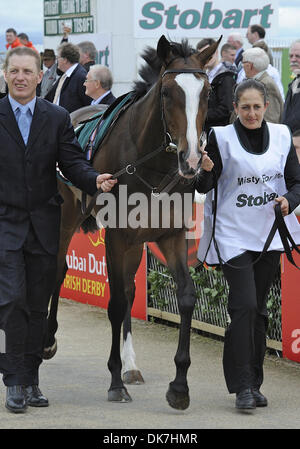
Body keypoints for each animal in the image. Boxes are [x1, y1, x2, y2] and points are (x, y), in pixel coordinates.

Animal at [43, 33, 220, 408]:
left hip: (137, 241)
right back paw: (47, 340)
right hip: (66, 218)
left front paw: (179, 385)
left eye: (208, 92)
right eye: (167, 92)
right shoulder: (117, 236)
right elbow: (116, 302)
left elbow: (184, 296)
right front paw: (114, 381)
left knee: (128, 286)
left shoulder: (169, 234)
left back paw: (131, 365)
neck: (149, 163)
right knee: (57, 269)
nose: (193, 159)